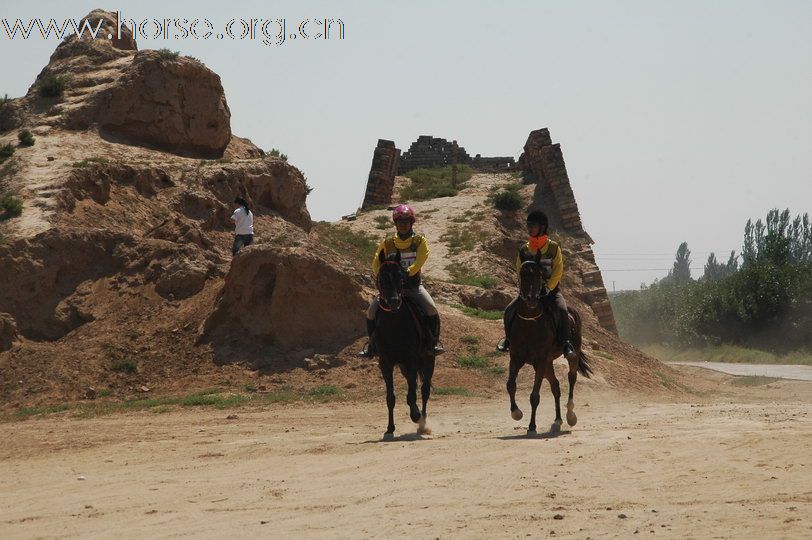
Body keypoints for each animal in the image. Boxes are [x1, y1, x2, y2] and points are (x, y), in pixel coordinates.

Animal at [376, 251, 438, 440]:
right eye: (382, 277)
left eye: (400, 277)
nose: (394, 301)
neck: (394, 325)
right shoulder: (386, 364)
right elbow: (391, 397)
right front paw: (389, 429)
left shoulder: (412, 361)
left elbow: (411, 396)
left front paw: (416, 416)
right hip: (404, 367)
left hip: (428, 361)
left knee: (424, 390)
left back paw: (422, 423)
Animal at [504, 250, 592, 434]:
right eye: (522, 273)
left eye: (539, 274)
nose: (531, 299)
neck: (529, 322)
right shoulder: (516, 358)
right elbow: (510, 385)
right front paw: (516, 413)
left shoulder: (541, 359)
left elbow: (534, 395)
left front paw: (531, 426)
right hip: (548, 364)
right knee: (556, 387)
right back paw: (557, 420)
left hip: (569, 356)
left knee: (571, 377)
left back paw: (570, 415)